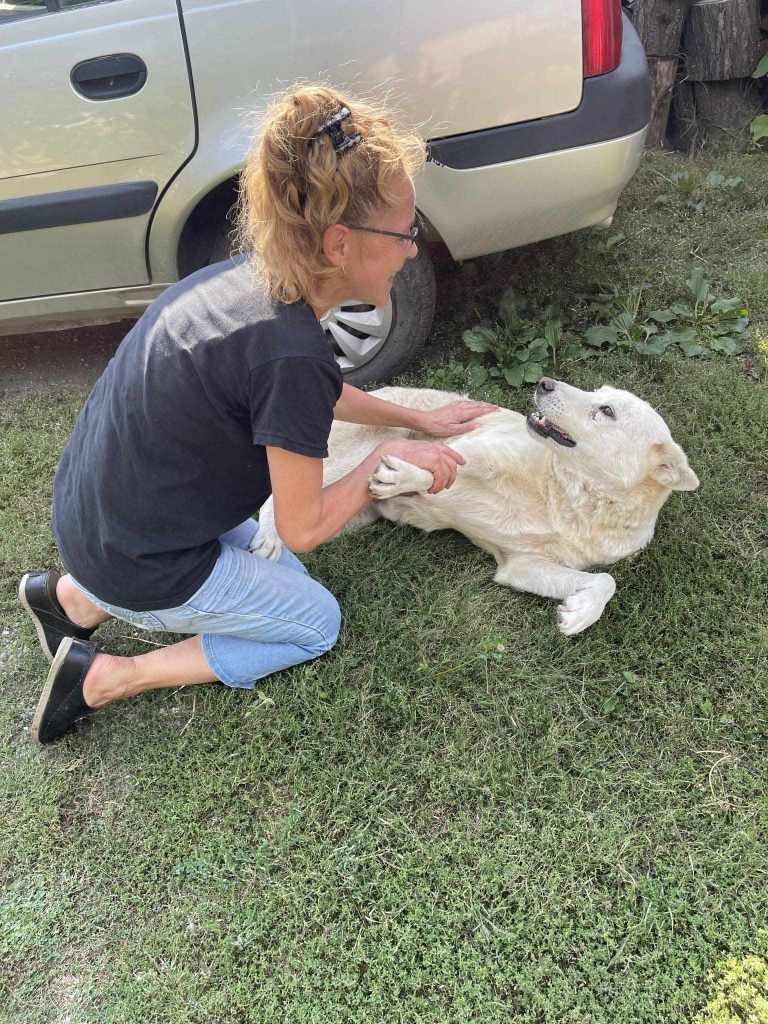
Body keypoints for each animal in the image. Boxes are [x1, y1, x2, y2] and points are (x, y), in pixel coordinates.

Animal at [256, 376, 700, 630]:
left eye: (605, 409)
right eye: (598, 392)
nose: (544, 382)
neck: (566, 495)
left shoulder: (522, 567)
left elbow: (606, 581)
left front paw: (578, 614)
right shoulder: (471, 447)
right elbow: (437, 469)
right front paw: (404, 478)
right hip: (361, 449)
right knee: (278, 499)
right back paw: (267, 537)